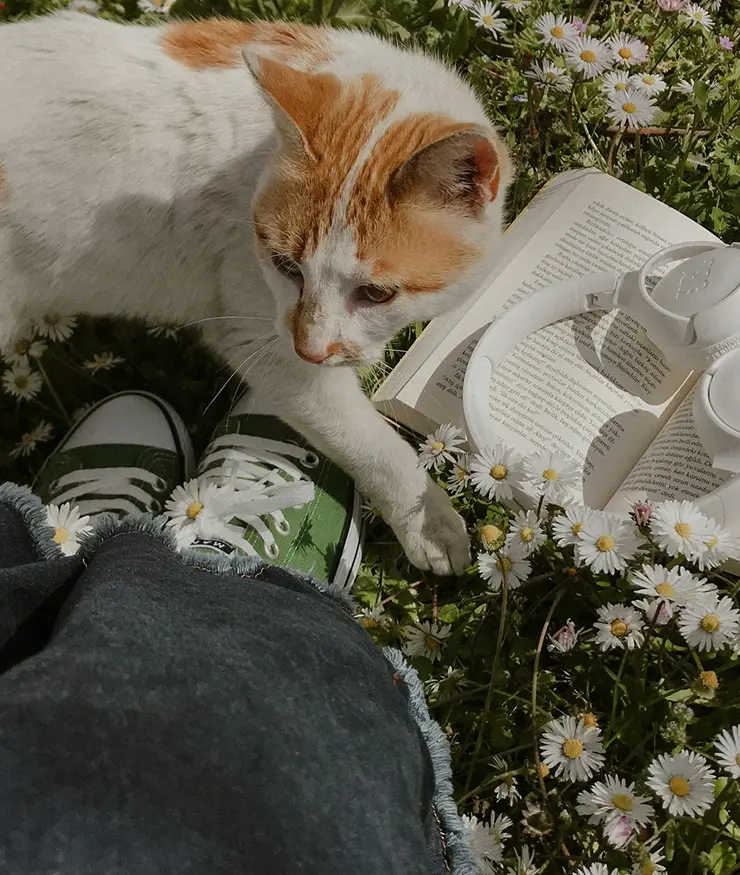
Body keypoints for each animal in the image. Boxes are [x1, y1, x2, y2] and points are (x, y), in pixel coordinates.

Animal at [0, 15, 512, 576]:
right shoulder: (259, 339)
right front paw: (427, 520)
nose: (311, 349)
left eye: (376, 293)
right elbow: (368, 440)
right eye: (285, 265)